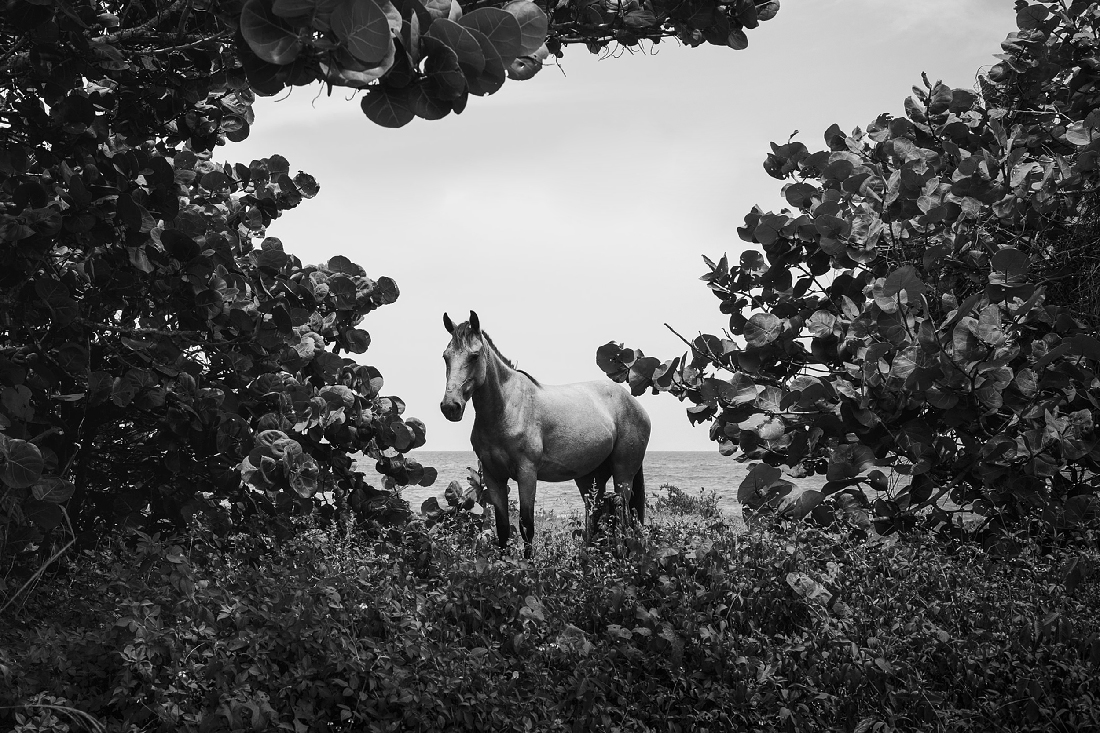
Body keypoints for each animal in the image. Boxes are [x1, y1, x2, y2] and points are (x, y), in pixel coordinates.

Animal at [440, 311, 651, 558]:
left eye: (474, 356)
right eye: (446, 357)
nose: (450, 406)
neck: (507, 409)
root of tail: (635, 404)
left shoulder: (526, 474)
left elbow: (526, 526)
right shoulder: (493, 477)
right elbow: (502, 529)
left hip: (623, 474)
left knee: (624, 517)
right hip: (590, 477)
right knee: (594, 516)